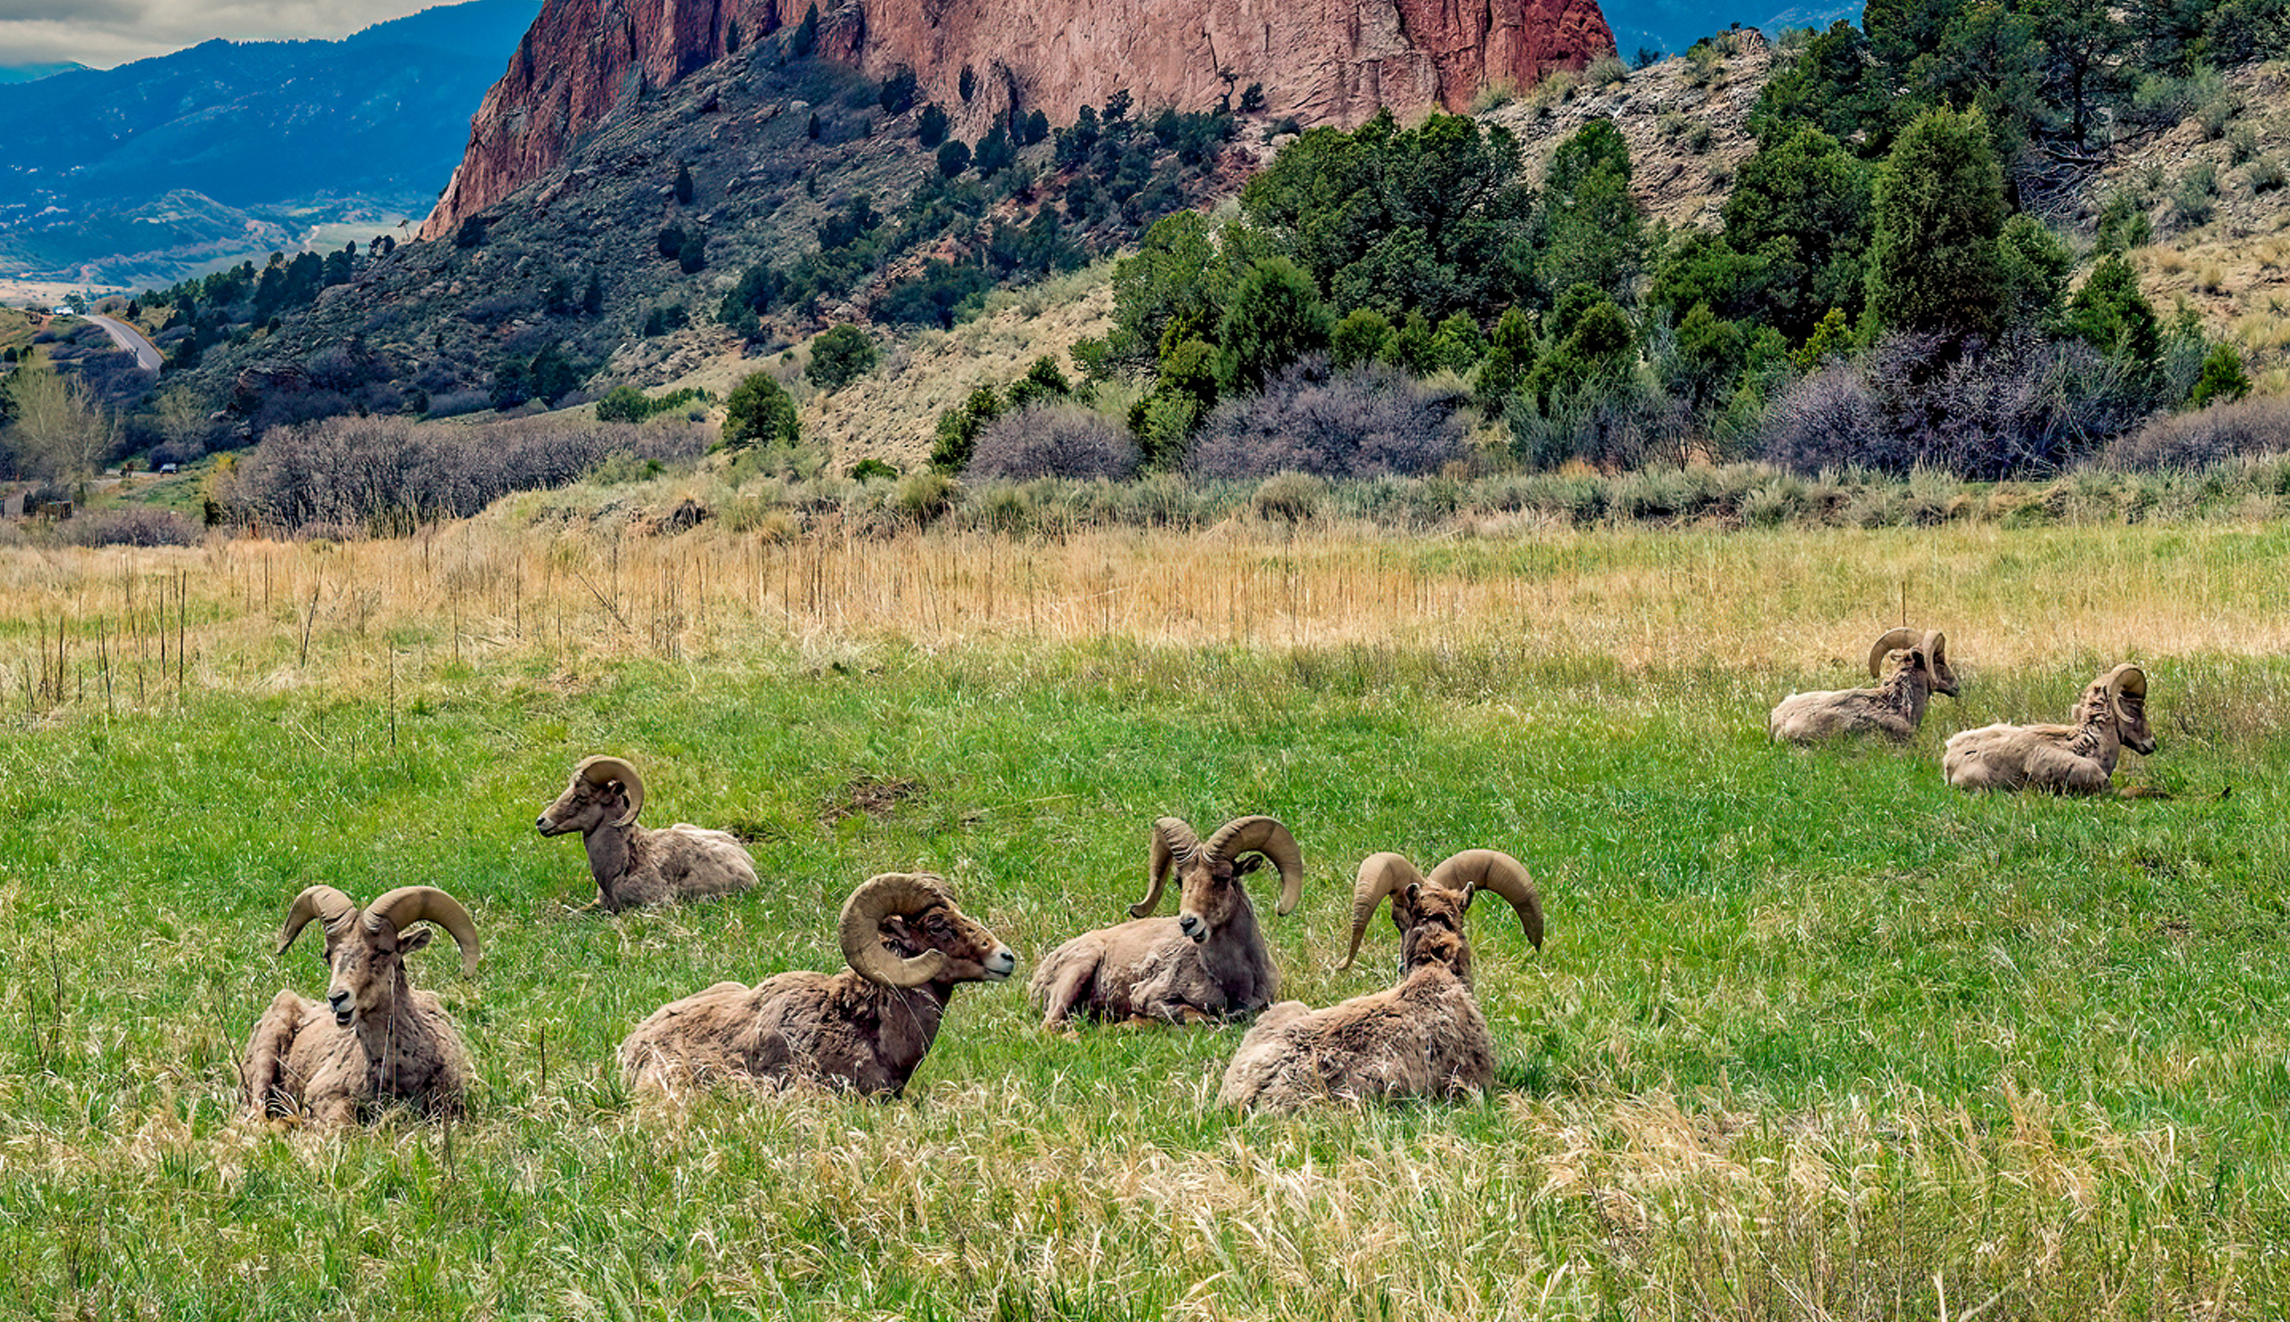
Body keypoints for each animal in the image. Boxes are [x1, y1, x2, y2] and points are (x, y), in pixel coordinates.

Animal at [1030, 815, 1304, 1030]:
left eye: (1223, 877)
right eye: (1179, 881)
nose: (1188, 923)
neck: (1234, 982)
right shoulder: (1150, 997)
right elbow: (1199, 1017)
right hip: (1079, 969)